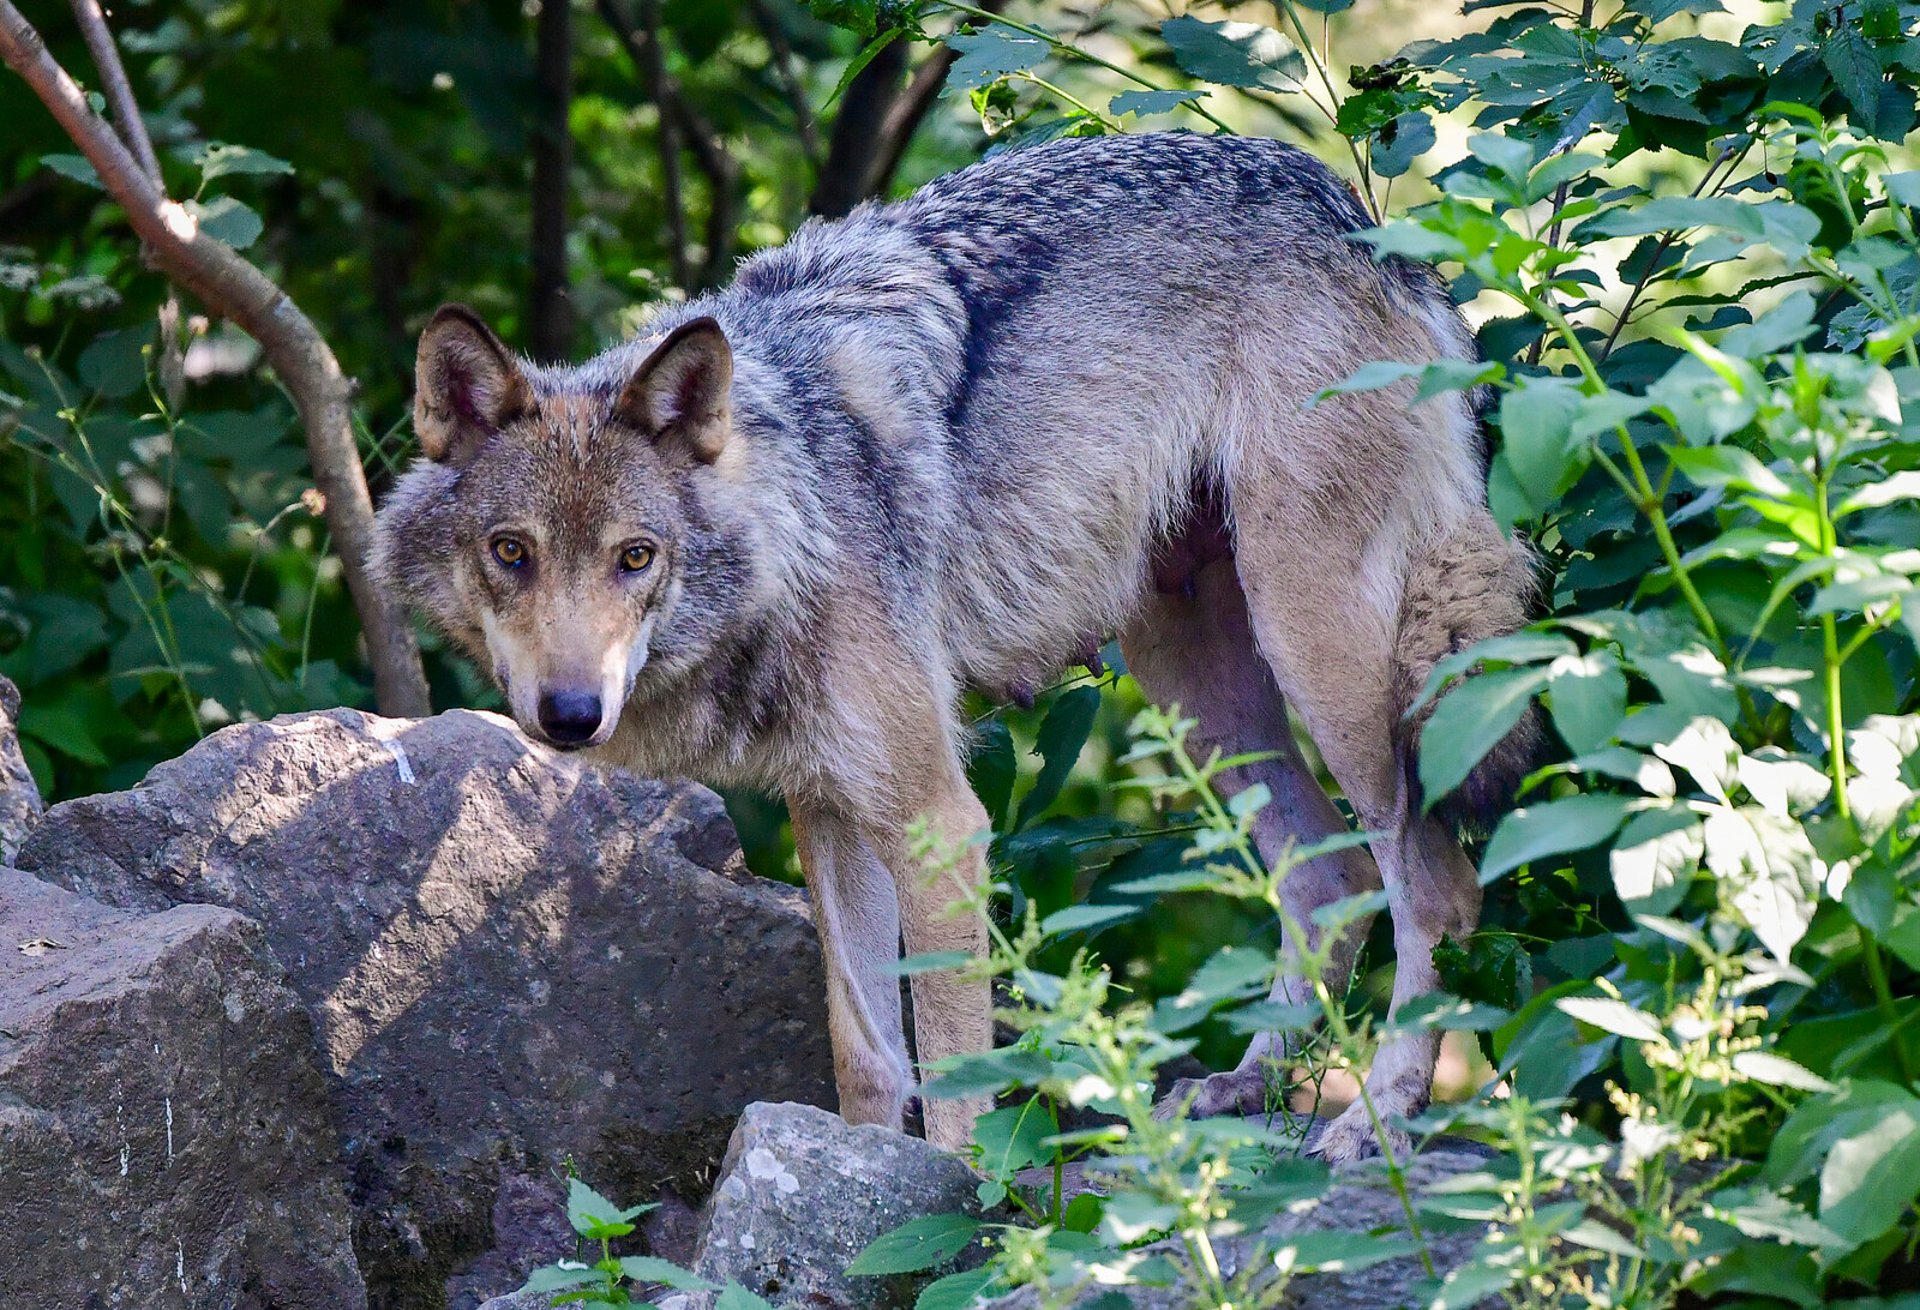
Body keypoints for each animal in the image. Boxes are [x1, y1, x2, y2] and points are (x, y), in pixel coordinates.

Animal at [374, 127, 1536, 1160]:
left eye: (635, 556)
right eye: (511, 551)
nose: (571, 716)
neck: (796, 514)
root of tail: (1365, 220)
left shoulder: (939, 822)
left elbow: (959, 1077)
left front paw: (964, 1212)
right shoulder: (830, 810)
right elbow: (867, 1055)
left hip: (1319, 650)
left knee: (1432, 884)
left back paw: (1377, 1117)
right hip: (1193, 683)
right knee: (1323, 875)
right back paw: (1247, 1086)